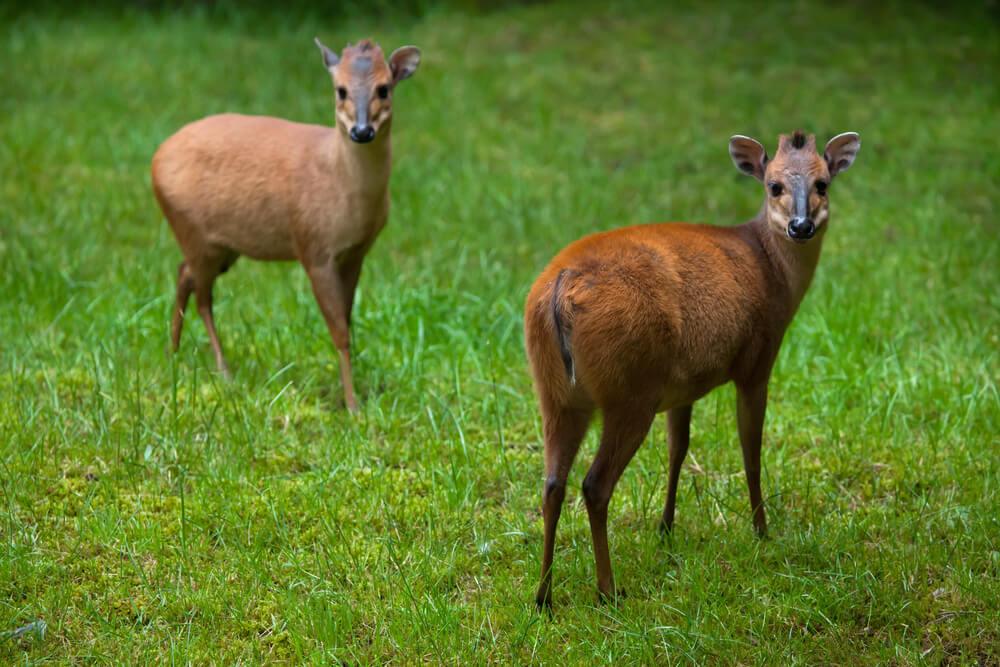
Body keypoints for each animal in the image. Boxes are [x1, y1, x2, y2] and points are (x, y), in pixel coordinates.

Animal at [151, 38, 421, 411]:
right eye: (340, 90)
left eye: (384, 88)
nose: (362, 131)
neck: (345, 189)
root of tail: (156, 158)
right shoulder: (313, 247)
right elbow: (339, 331)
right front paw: (352, 406)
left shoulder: (356, 252)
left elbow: (347, 320)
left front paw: (355, 394)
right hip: (192, 230)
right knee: (202, 295)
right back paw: (223, 371)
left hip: (221, 246)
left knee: (184, 275)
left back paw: (174, 353)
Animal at [525, 130, 861, 608]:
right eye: (773, 185)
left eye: (823, 184)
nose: (801, 226)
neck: (771, 269)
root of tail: (561, 288)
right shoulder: (757, 361)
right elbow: (751, 450)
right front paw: (761, 529)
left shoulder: (681, 389)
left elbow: (677, 449)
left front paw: (665, 527)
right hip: (629, 391)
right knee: (594, 484)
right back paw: (608, 590)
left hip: (556, 393)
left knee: (553, 484)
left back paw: (544, 596)